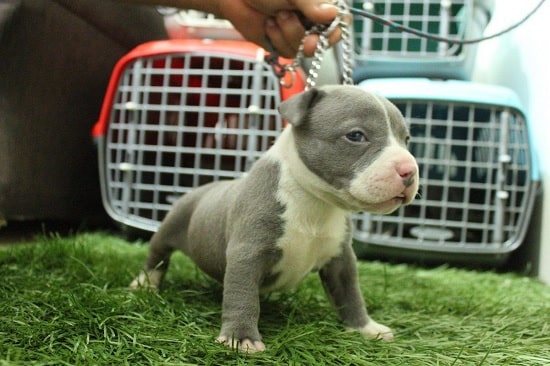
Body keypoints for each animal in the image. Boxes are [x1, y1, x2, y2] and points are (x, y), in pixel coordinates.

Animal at [132, 85, 420, 352]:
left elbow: (350, 294)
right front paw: (241, 338)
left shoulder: (341, 259)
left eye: (406, 139)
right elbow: (242, 296)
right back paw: (145, 284)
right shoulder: (248, 252)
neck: (315, 201)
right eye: (356, 135)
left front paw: (365, 327)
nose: (410, 170)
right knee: (157, 256)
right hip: (172, 224)